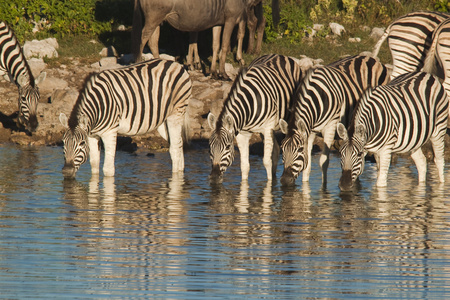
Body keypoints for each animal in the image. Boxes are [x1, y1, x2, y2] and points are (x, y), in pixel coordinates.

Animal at [59, 59, 191, 179]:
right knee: (179, 144)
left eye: (81, 143)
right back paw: (181, 172)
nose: (66, 172)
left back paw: (175, 178)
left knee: (175, 148)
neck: (99, 105)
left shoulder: (110, 132)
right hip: (163, 122)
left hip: (176, 114)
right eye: (63, 143)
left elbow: (108, 170)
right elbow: (94, 165)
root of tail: (176, 63)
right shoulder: (92, 135)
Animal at [278, 53, 390, 185]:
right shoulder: (310, 130)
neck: (318, 99)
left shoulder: (330, 126)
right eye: (282, 149)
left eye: (299, 149)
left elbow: (324, 161)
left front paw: (324, 188)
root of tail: (371, 59)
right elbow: (307, 164)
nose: (285, 180)